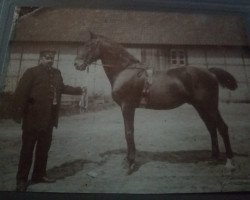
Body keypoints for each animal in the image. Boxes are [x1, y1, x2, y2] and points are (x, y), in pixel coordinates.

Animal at [73, 32, 237, 172]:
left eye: (89, 45)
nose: (76, 64)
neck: (125, 70)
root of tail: (210, 72)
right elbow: (128, 131)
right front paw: (128, 160)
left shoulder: (127, 106)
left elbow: (129, 132)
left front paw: (130, 163)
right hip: (201, 107)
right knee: (212, 128)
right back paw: (213, 159)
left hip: (209, 106)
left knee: (222, 128)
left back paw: (229, 162)